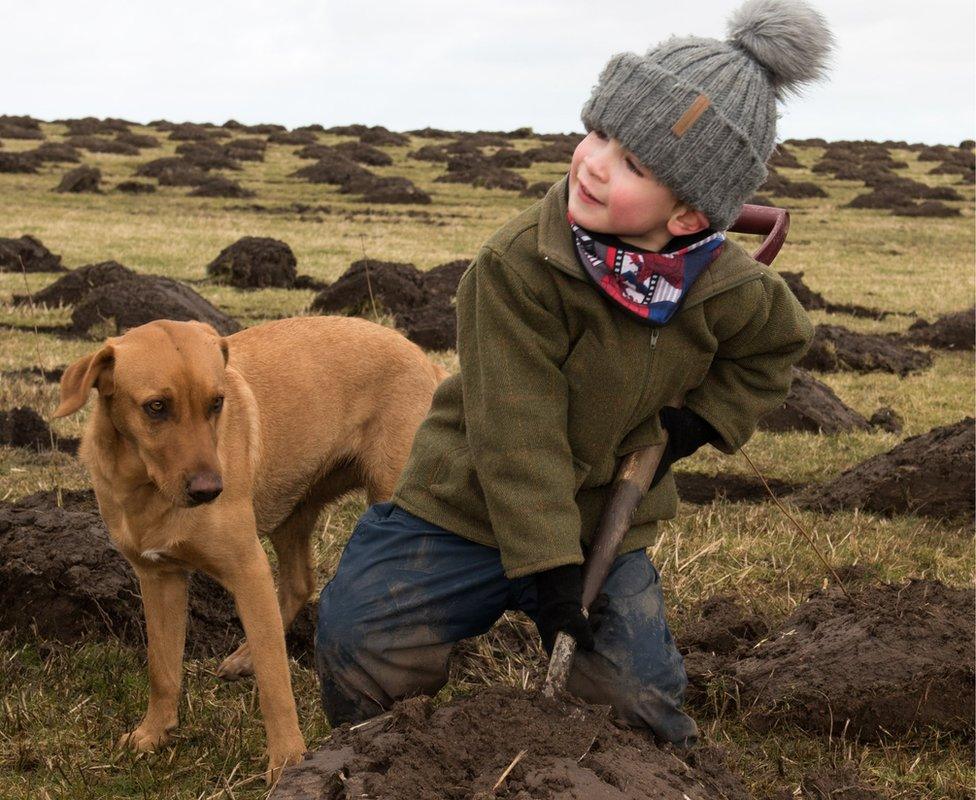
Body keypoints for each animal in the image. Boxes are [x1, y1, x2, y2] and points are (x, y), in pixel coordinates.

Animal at [55, 316, 444, 780]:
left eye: (217, 403)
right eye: (156, 407)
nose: (210, 491)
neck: (147, 484)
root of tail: (423, 358)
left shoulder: (247, 568)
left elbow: (274, 679)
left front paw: (289, 761)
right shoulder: (159, 576)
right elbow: (162, 668)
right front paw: (153, 733)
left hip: (392, 494)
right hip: (293, 507)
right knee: (299, 583)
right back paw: (242, 659)